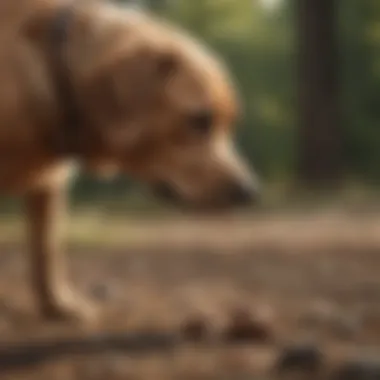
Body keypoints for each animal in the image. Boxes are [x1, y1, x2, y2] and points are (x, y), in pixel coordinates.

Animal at [0, 0, 258, 320]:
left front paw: (58, 305)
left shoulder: (49, 185)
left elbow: (47, 250)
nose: (249, 192)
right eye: (200, 120)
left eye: (230, 123)